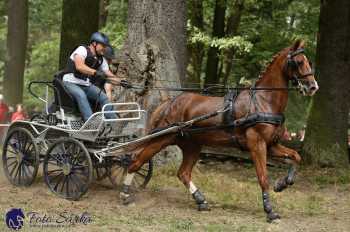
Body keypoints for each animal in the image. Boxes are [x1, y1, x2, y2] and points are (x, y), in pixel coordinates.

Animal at [121, 40, 318, 221]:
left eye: (308, 61)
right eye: (298, 62)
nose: (313, 87)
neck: (263, 100)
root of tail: (169, 102)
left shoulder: (272, 145)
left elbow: (296, 157)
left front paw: (283, 183)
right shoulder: (257, 144)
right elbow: (263, 177)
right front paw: (270, 210)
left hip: (192, 145)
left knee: (183, 173)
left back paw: (201, 201)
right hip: (161, 139)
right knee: (136, 161)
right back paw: (125, 193)